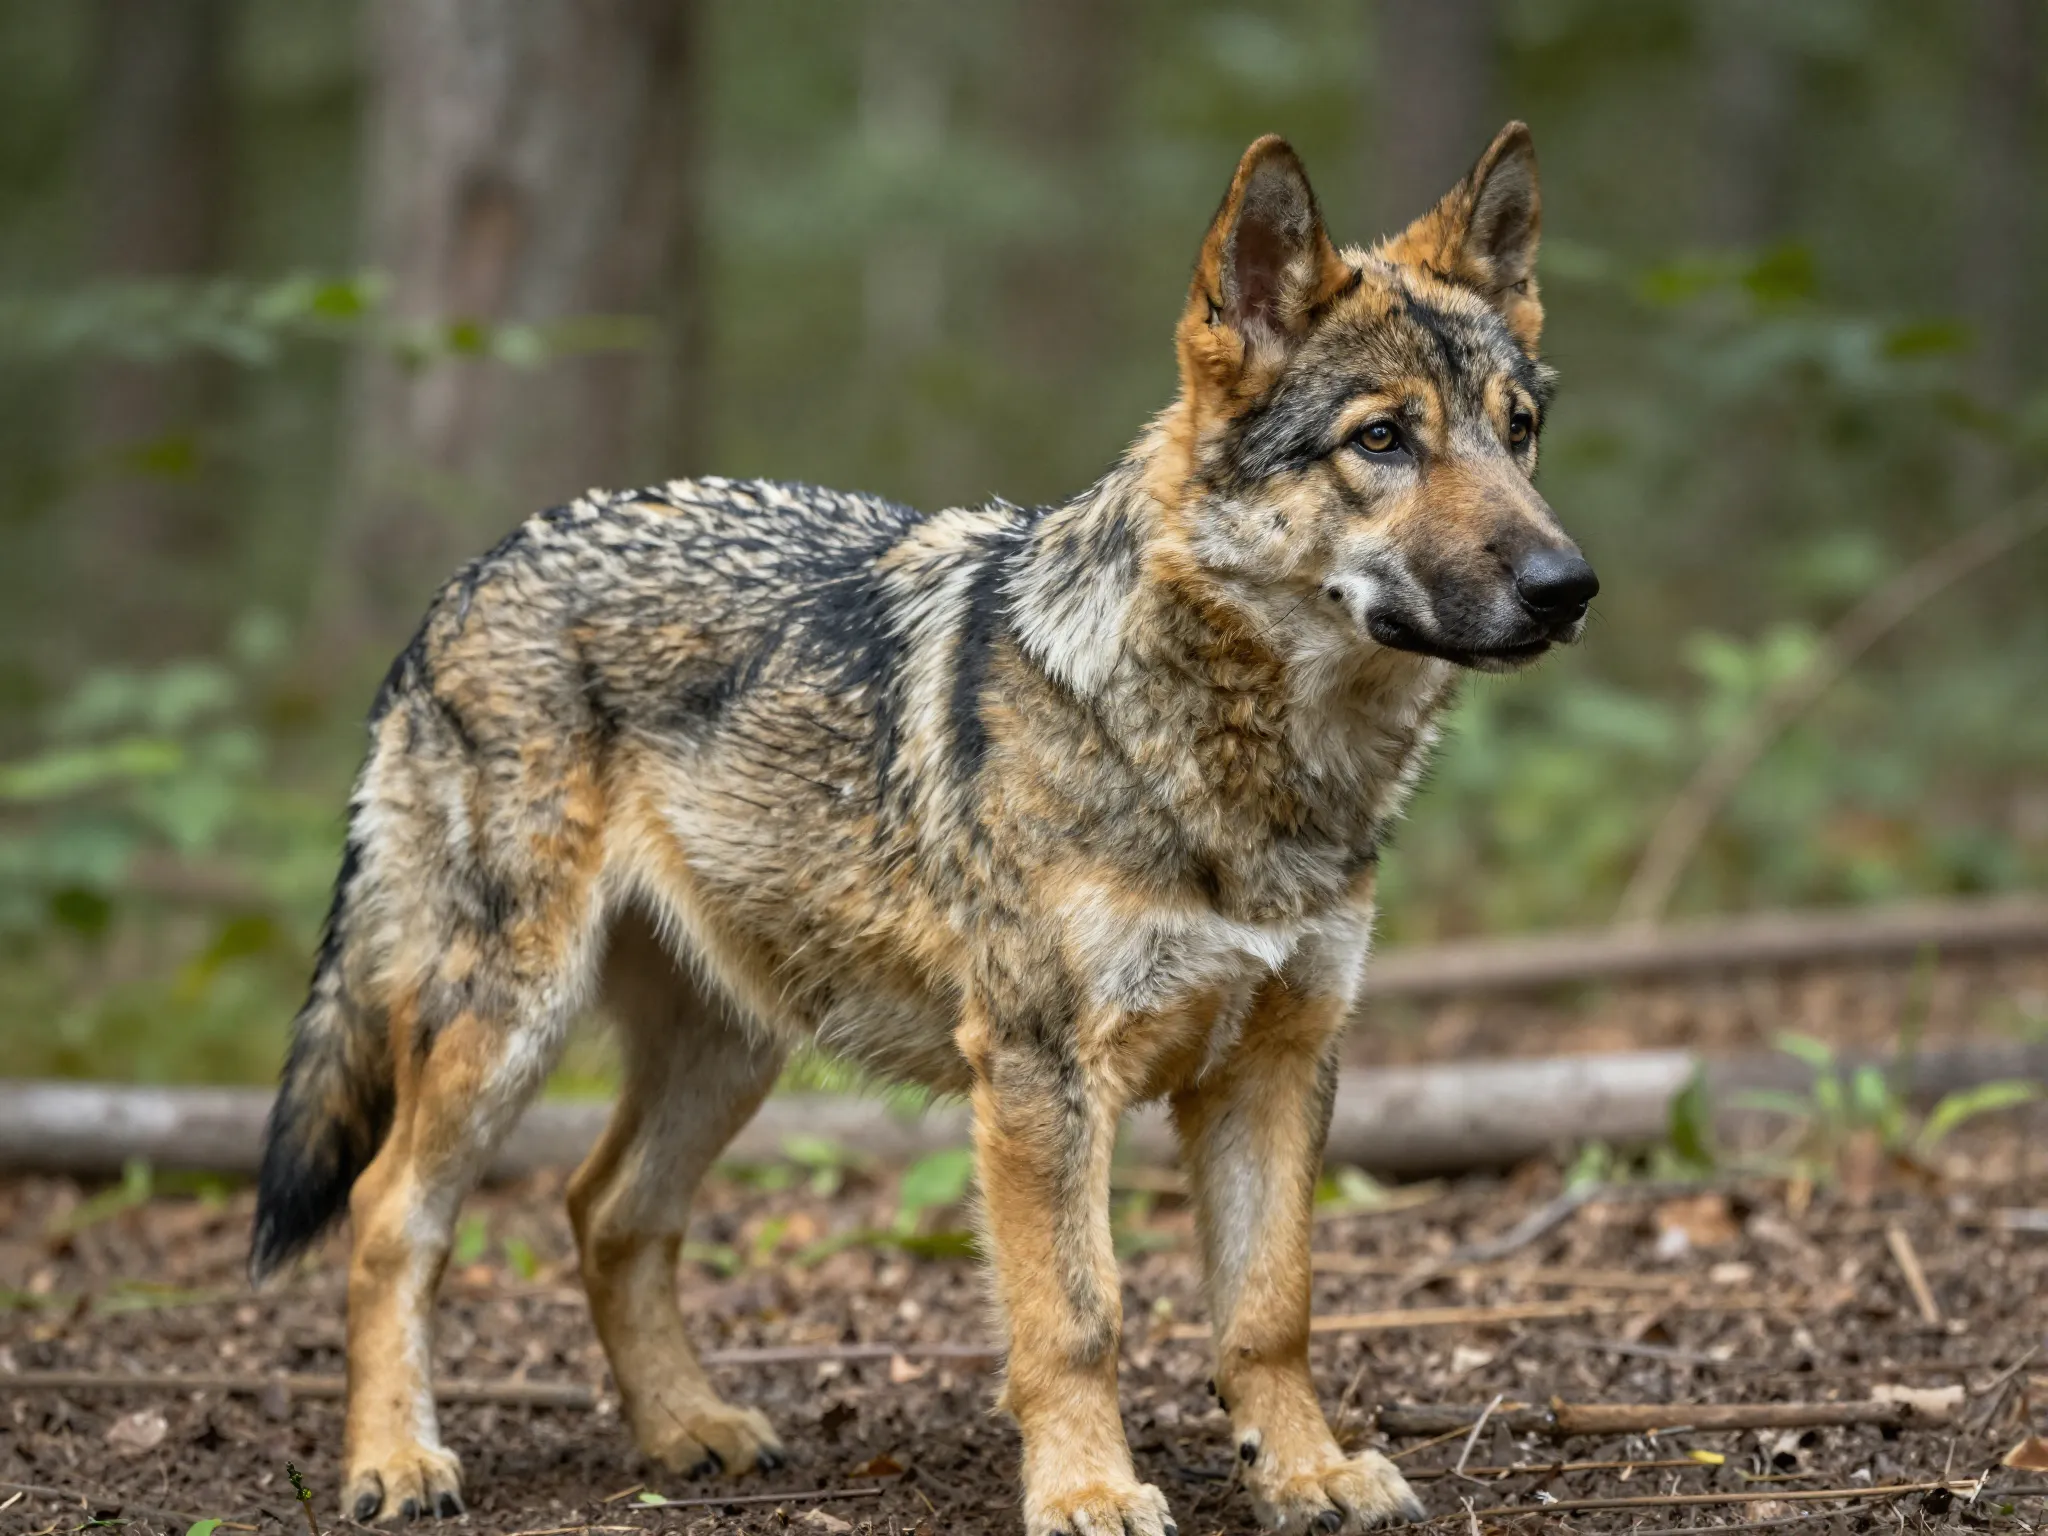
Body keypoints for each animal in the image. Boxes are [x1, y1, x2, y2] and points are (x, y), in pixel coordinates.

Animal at [250, 121, 1595, 1534]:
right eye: (1381, 438)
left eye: (1517, 433)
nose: (1567, 587)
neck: (1242, 774)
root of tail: (465, 579)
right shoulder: (1039, 1076)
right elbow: (1077, 1317)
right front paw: (1088, 1492)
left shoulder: (1280, 1062)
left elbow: (1268, 1310)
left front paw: (1306, 1473)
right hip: (509, 1024)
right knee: (389, 1214)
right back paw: (395, 1462)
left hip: (731, 1048)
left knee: (604, 1210)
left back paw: (685, 1430)